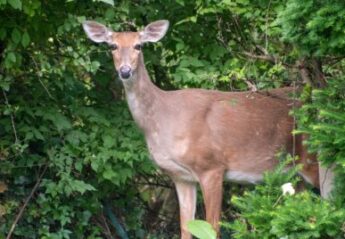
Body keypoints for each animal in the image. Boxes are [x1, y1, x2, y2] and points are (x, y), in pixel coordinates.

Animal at [82, 19, 318, 238]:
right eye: (112, 46)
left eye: (138, 45)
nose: (125, 71)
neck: (162, 119)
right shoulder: (181, 177)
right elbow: (186, 228)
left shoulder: (211, 166)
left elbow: (212, 228)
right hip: (296, 176)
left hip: (314, 161)